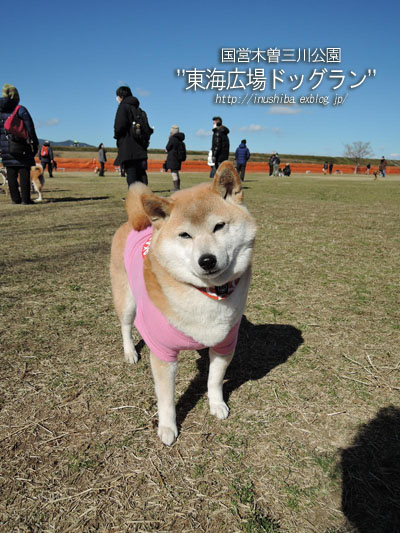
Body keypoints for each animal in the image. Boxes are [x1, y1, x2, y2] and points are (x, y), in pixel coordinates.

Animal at [110, 162, 256, 444]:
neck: (207, 293)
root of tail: (136, 222)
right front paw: (167, 427)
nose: (207, 260)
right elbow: (166, 398)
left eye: (219, 226)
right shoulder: (163, 353)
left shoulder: (225, 343)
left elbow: (214, 380)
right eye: (185, 235)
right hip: (127, 300)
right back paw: (130, 352)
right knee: (124, 326)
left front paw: (216, 404)